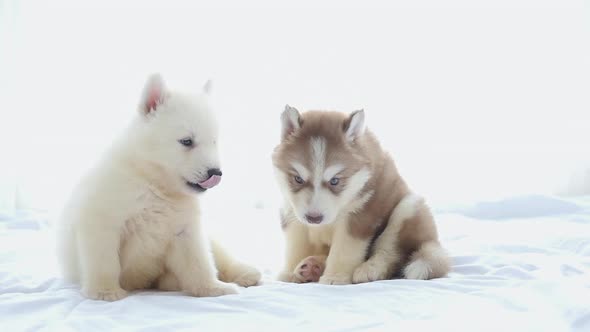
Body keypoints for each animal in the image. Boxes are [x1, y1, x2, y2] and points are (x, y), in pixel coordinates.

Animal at [57, 73, 262, 300]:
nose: (215, 173)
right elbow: (103, 255)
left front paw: (214, 287)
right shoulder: (105, 211)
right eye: (187, 141)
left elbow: (197, 256)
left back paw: (246, 273)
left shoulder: (184, 222)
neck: (154, 182)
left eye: (214, 141)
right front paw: (105, 291)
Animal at [274, 106, 454, 286]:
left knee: (392, 252)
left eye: (335, 180)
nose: (314, 218)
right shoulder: (291, 211)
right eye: (298, 179)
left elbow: (344, 249)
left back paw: (370, 269)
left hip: (408, 209)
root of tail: (433, 242)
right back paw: (313, 267)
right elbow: (297, 245)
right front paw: (290, 273)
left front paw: (335, 277)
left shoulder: (360, 215)